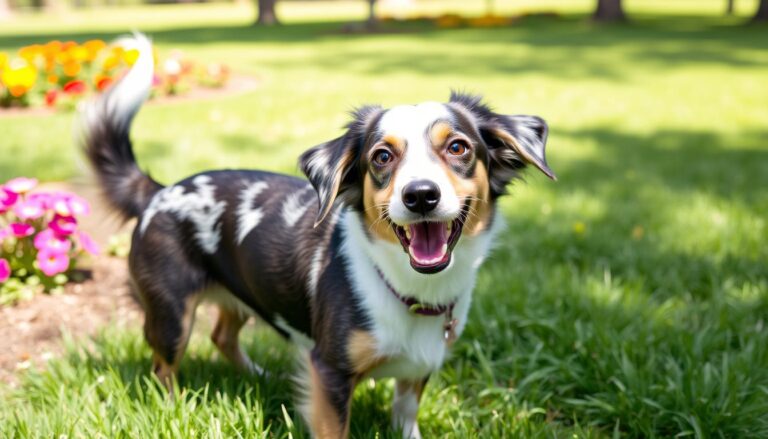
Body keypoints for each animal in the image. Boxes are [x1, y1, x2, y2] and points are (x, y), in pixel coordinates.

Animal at [81, 35, 556, 439]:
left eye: (458, 147)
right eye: (382, 156)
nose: (420, 195)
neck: (410, 287)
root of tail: (159, 191)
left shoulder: (418, 368)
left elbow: (406, 414)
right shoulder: (330, 372)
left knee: (222, 336)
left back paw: (259, 377)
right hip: (171, 314)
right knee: (163, 368)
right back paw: (175, 406)